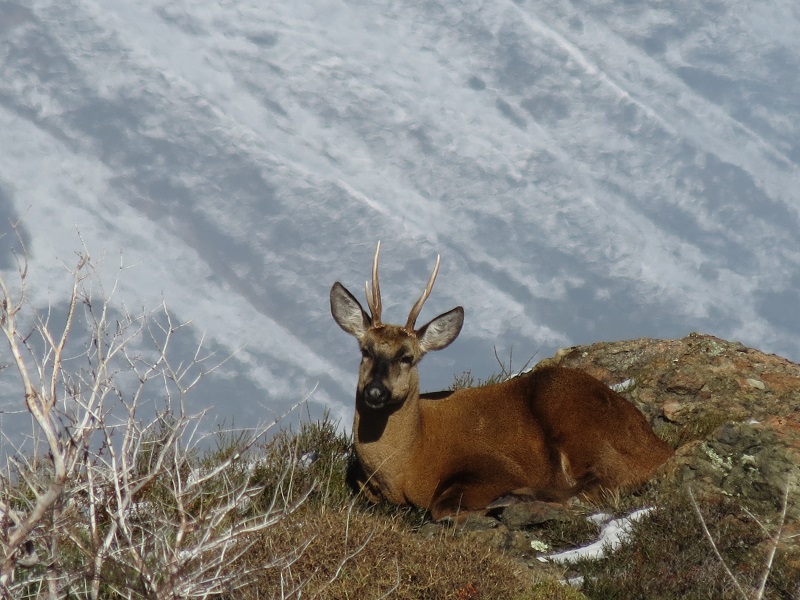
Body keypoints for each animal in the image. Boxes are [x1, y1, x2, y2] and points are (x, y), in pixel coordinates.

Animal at [328, 244, 672, 520]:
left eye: (407, 357)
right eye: (366, 350)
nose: (375, 391)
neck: (407, 463)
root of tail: (657, 447)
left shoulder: (496, 465)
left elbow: (442, 506)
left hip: (569, 410)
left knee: (599, 483)